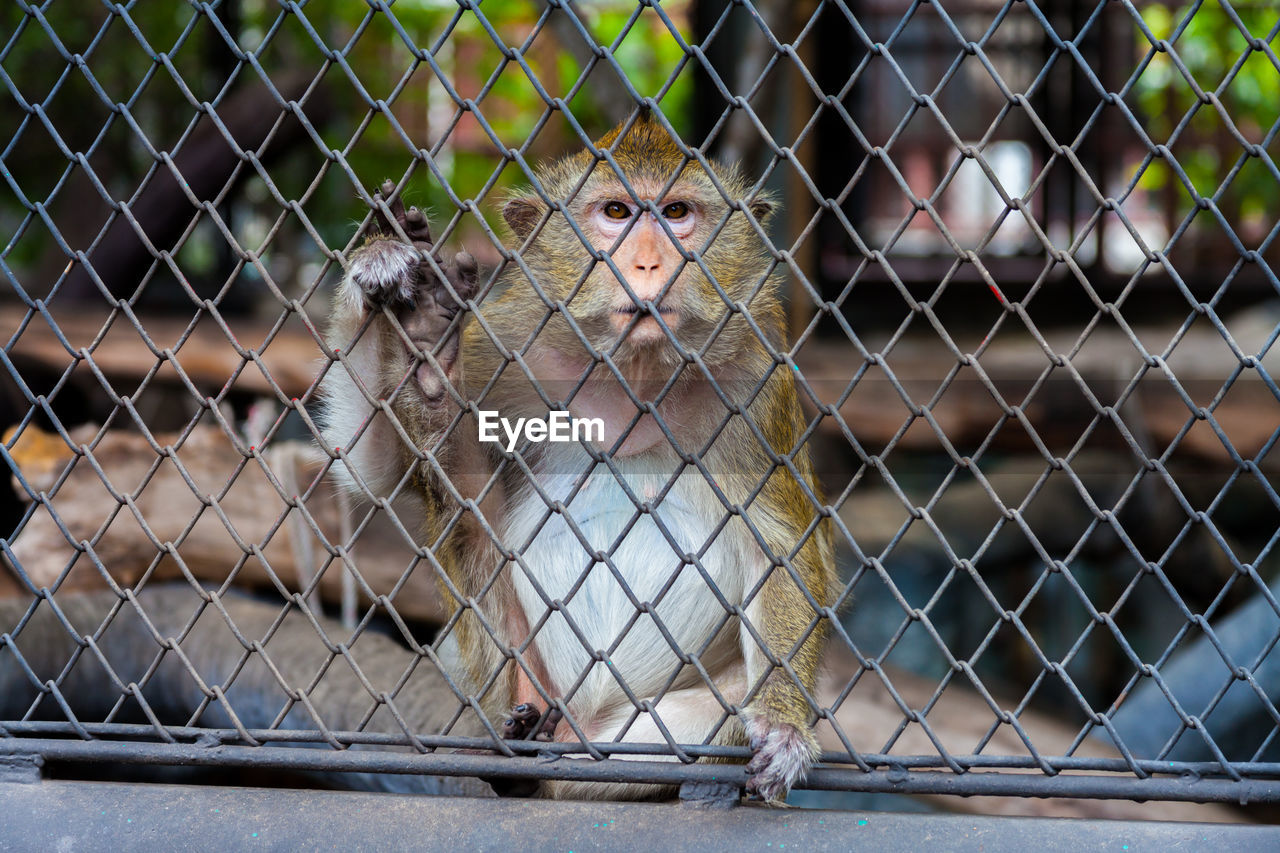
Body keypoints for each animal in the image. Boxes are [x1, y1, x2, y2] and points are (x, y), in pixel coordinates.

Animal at [321, 113, 835, 803]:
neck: (633, 374)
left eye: (676, 212)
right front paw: (381, 267)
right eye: (615, 212)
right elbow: (373, 471)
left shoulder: (757, 380)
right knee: (465, 499)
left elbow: (779, 545)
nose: (647, 261)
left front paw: (782, 727)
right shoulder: (501, 346)